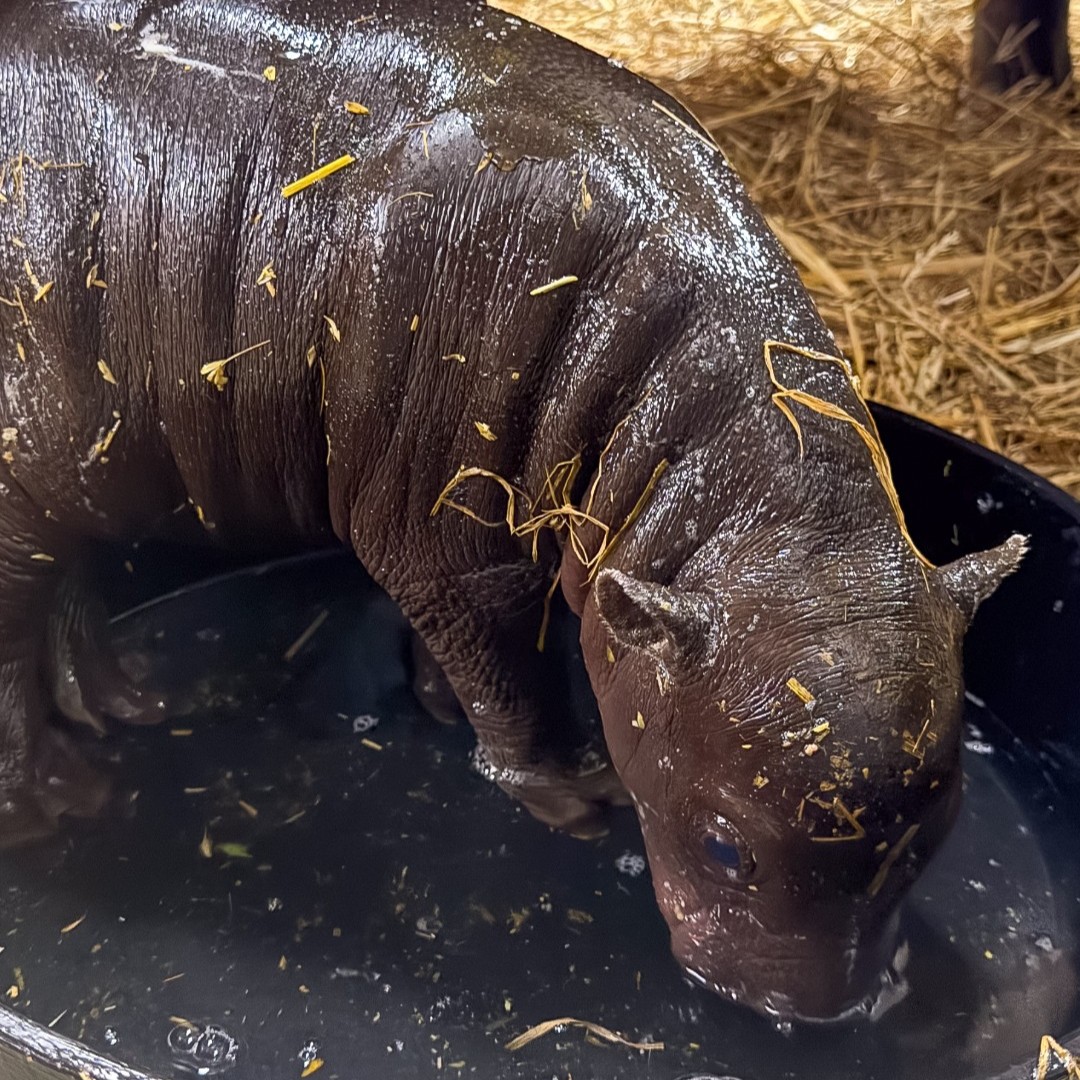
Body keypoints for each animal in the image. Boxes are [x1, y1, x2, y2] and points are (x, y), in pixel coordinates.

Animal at [0, 0, 1025, 1021]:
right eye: (725, 844)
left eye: (936, 835)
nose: (826, 1015)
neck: (771, 524)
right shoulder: (448, 545)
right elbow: (507, 671)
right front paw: (575, 798)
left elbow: (480, 657)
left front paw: (438, 704)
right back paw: (61, 804)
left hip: (71, 480)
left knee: (63, 581)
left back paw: (126, 696)